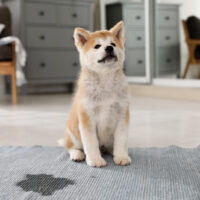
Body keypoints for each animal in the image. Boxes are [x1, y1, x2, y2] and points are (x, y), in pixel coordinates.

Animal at [60, 21, 130, 167]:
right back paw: (77, 154)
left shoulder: (122, 114)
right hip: (73, 133)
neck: (105, 80)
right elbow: (91, 143)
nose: (109, 48)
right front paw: (95, 160)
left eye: (113, 43)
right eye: (97, 46)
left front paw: (121, 156)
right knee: (71, 147)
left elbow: (121, 140)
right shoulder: (87, 117)